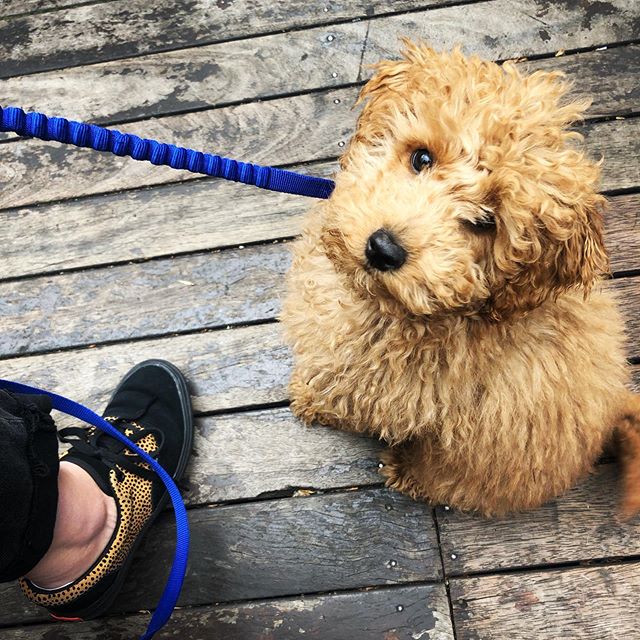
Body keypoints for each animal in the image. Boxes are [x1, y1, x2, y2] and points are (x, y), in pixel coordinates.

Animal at [284, 43, 640, 516]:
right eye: (421, 157)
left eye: (485, 222)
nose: (383, 249)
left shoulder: (380, 393)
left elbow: (339, 398)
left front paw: (309, 401)